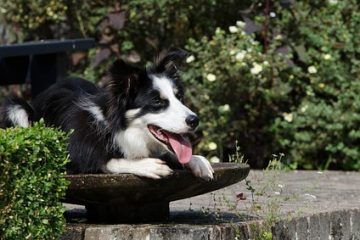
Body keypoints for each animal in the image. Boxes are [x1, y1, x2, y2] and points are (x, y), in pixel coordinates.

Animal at [0, 48, 214, 180]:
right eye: (157, 103)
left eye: (179, 97)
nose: (194, 120)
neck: (118, 128)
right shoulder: (70, 154)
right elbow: (106, 160)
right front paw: (149, 165)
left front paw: (198, 161)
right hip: (15, 109)